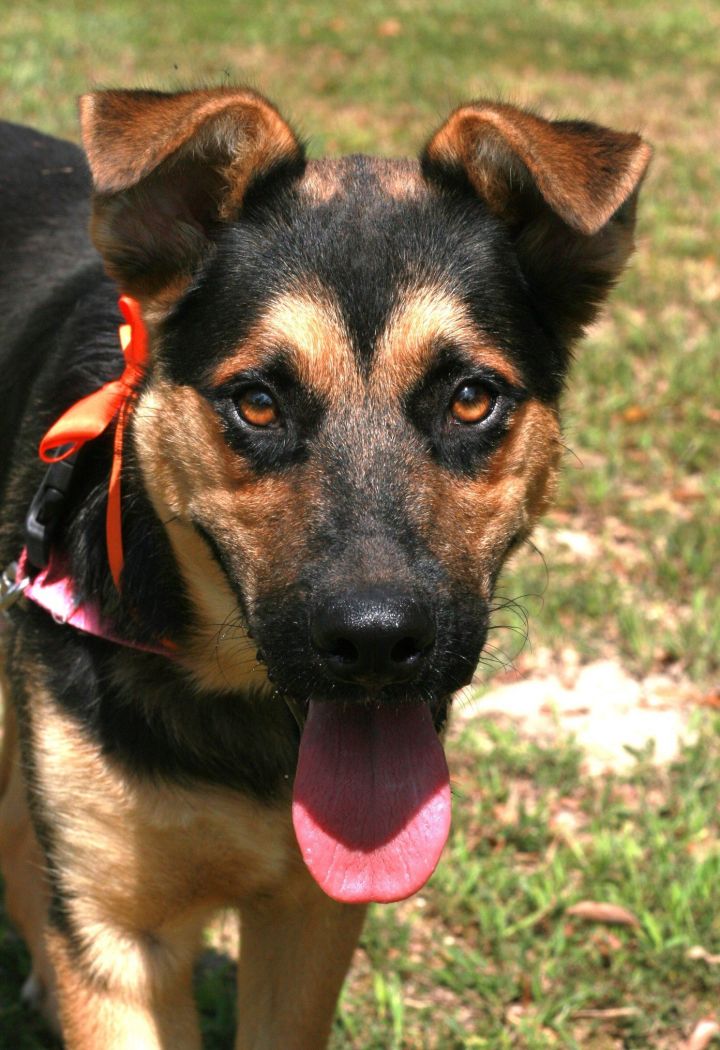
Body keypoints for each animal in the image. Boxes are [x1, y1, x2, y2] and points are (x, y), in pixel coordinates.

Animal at [0, 90, 654, 1050]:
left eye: (471, 398)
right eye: (258, 403)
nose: (377, 643)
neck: (240, 704)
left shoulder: (310, 916)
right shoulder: (120, 939)